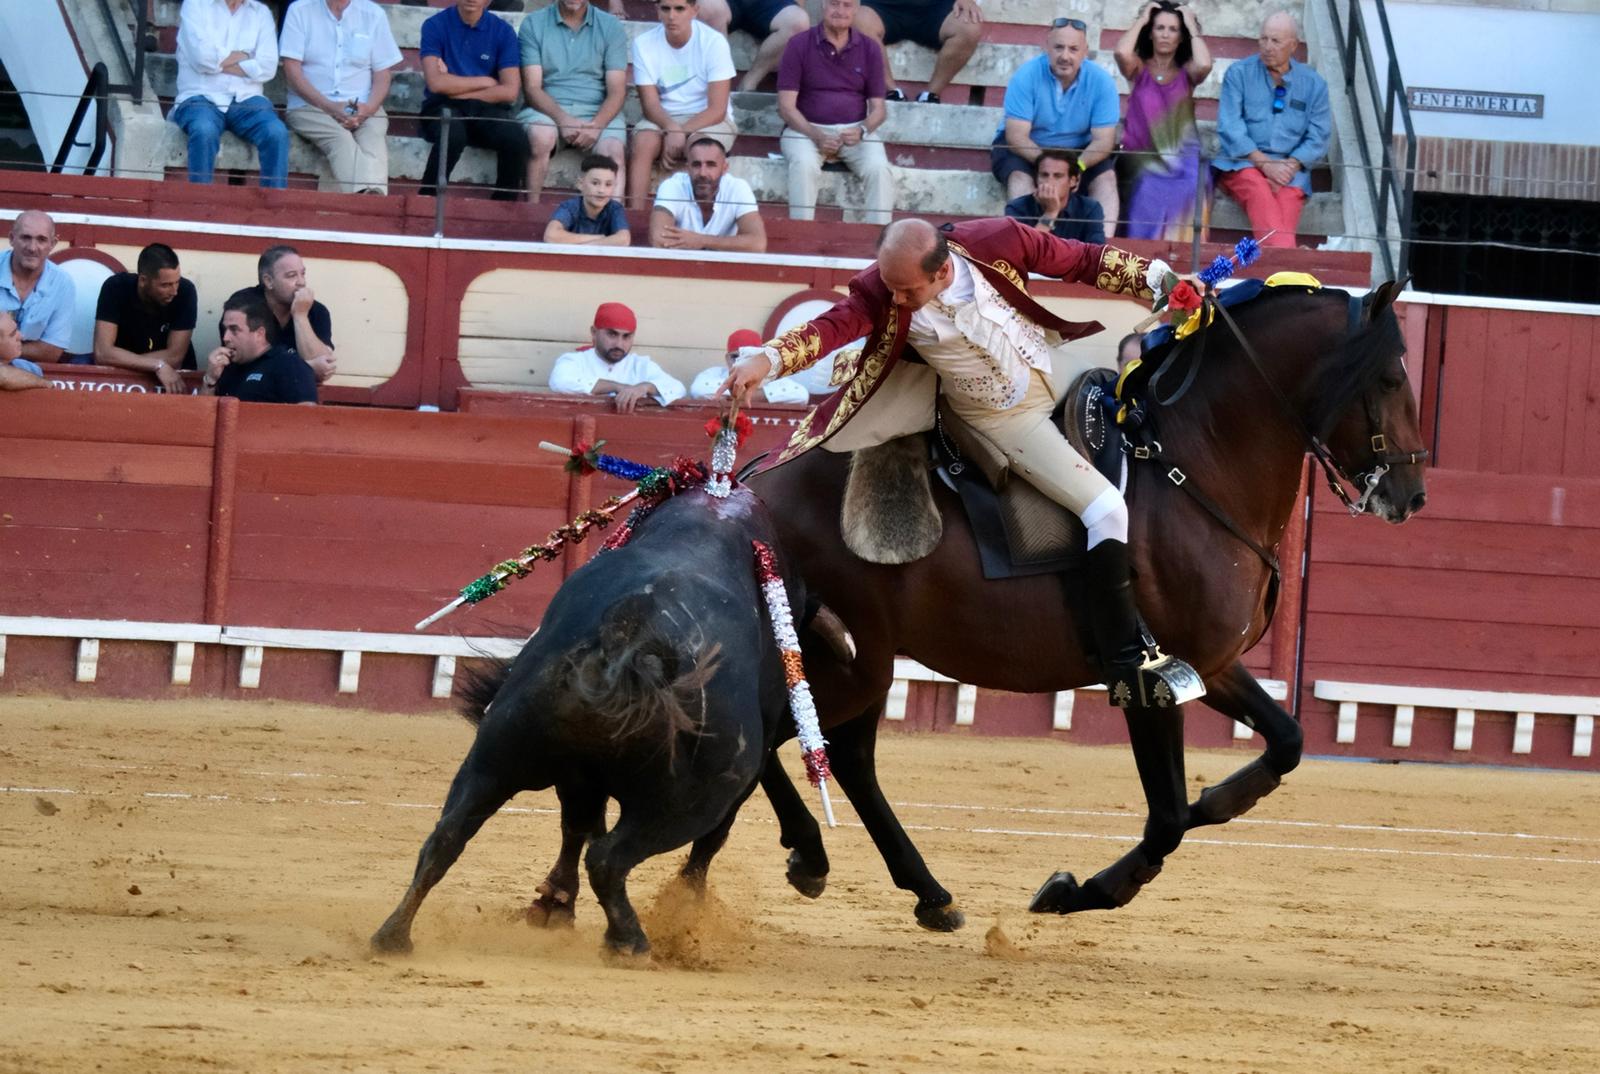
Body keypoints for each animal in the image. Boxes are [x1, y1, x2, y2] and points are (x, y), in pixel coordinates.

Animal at [742, 281, 1433, 928]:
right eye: (1392, 377)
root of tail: (749, 484)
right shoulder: (1149, 683)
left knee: (847, 757)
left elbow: (1284, 741)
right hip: (850, 665)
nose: (1412, 495)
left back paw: (923, 892)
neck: (1196, 463)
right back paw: (814, 854)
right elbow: (1167, 817)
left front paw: (1216, 802)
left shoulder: (1207, 665)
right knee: (785, 735)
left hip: (863, 664)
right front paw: (1083, 890)